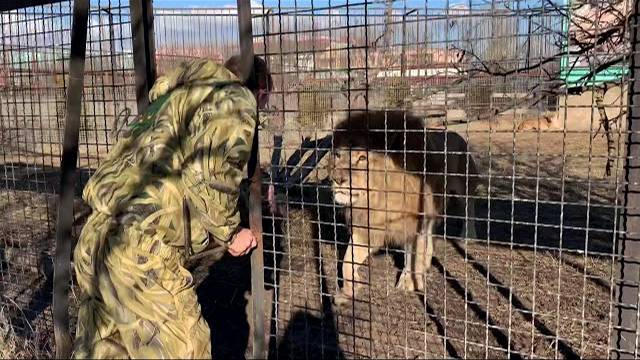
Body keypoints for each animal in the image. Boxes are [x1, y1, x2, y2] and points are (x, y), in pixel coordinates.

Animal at [332, 110, 478, 306]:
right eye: (338, 156)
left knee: (470, 208)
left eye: (362, 158)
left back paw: (468, 235)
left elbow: (412, 254)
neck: (379, 198)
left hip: (463, 186)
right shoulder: (369, 227)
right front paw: (349, 291)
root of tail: (455, 133)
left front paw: (409, 281)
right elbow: (347, 261)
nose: (337, 179)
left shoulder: (412, 223)